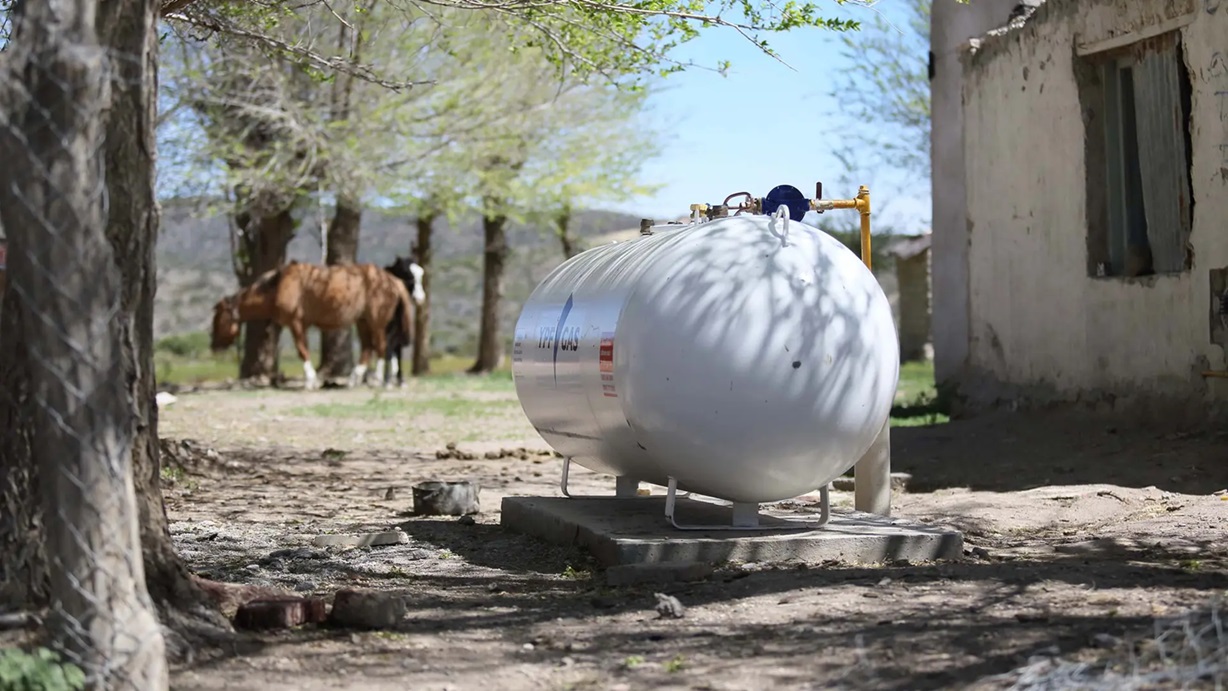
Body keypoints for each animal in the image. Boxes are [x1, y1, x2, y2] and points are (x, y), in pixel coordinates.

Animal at [209, 261, 412, 390]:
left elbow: (302, 350)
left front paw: (310, 381)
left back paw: (377, 379)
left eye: (218, 318)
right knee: (367, 348)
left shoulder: (296, 323)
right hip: (362, 321)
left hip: (376, 322)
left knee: (381, 347)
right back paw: (354, 380)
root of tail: (393, 280)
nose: (213, 344)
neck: (279, 285)